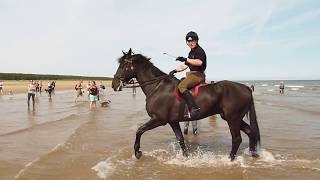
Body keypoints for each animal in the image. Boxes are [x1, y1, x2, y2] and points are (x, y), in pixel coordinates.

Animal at [112, 48, 260, 161]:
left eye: (123, 65)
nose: (114, 84)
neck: (158, 86)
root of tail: (246, 88)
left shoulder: (158, 120)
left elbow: (139, 130)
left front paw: (137, 152)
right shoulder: (173, 121)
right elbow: (181, 140)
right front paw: (186, 158)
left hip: (232, 118)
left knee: (237, 139)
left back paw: (230, 159)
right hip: (233, 118)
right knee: (250, 132)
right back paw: (253, 154)